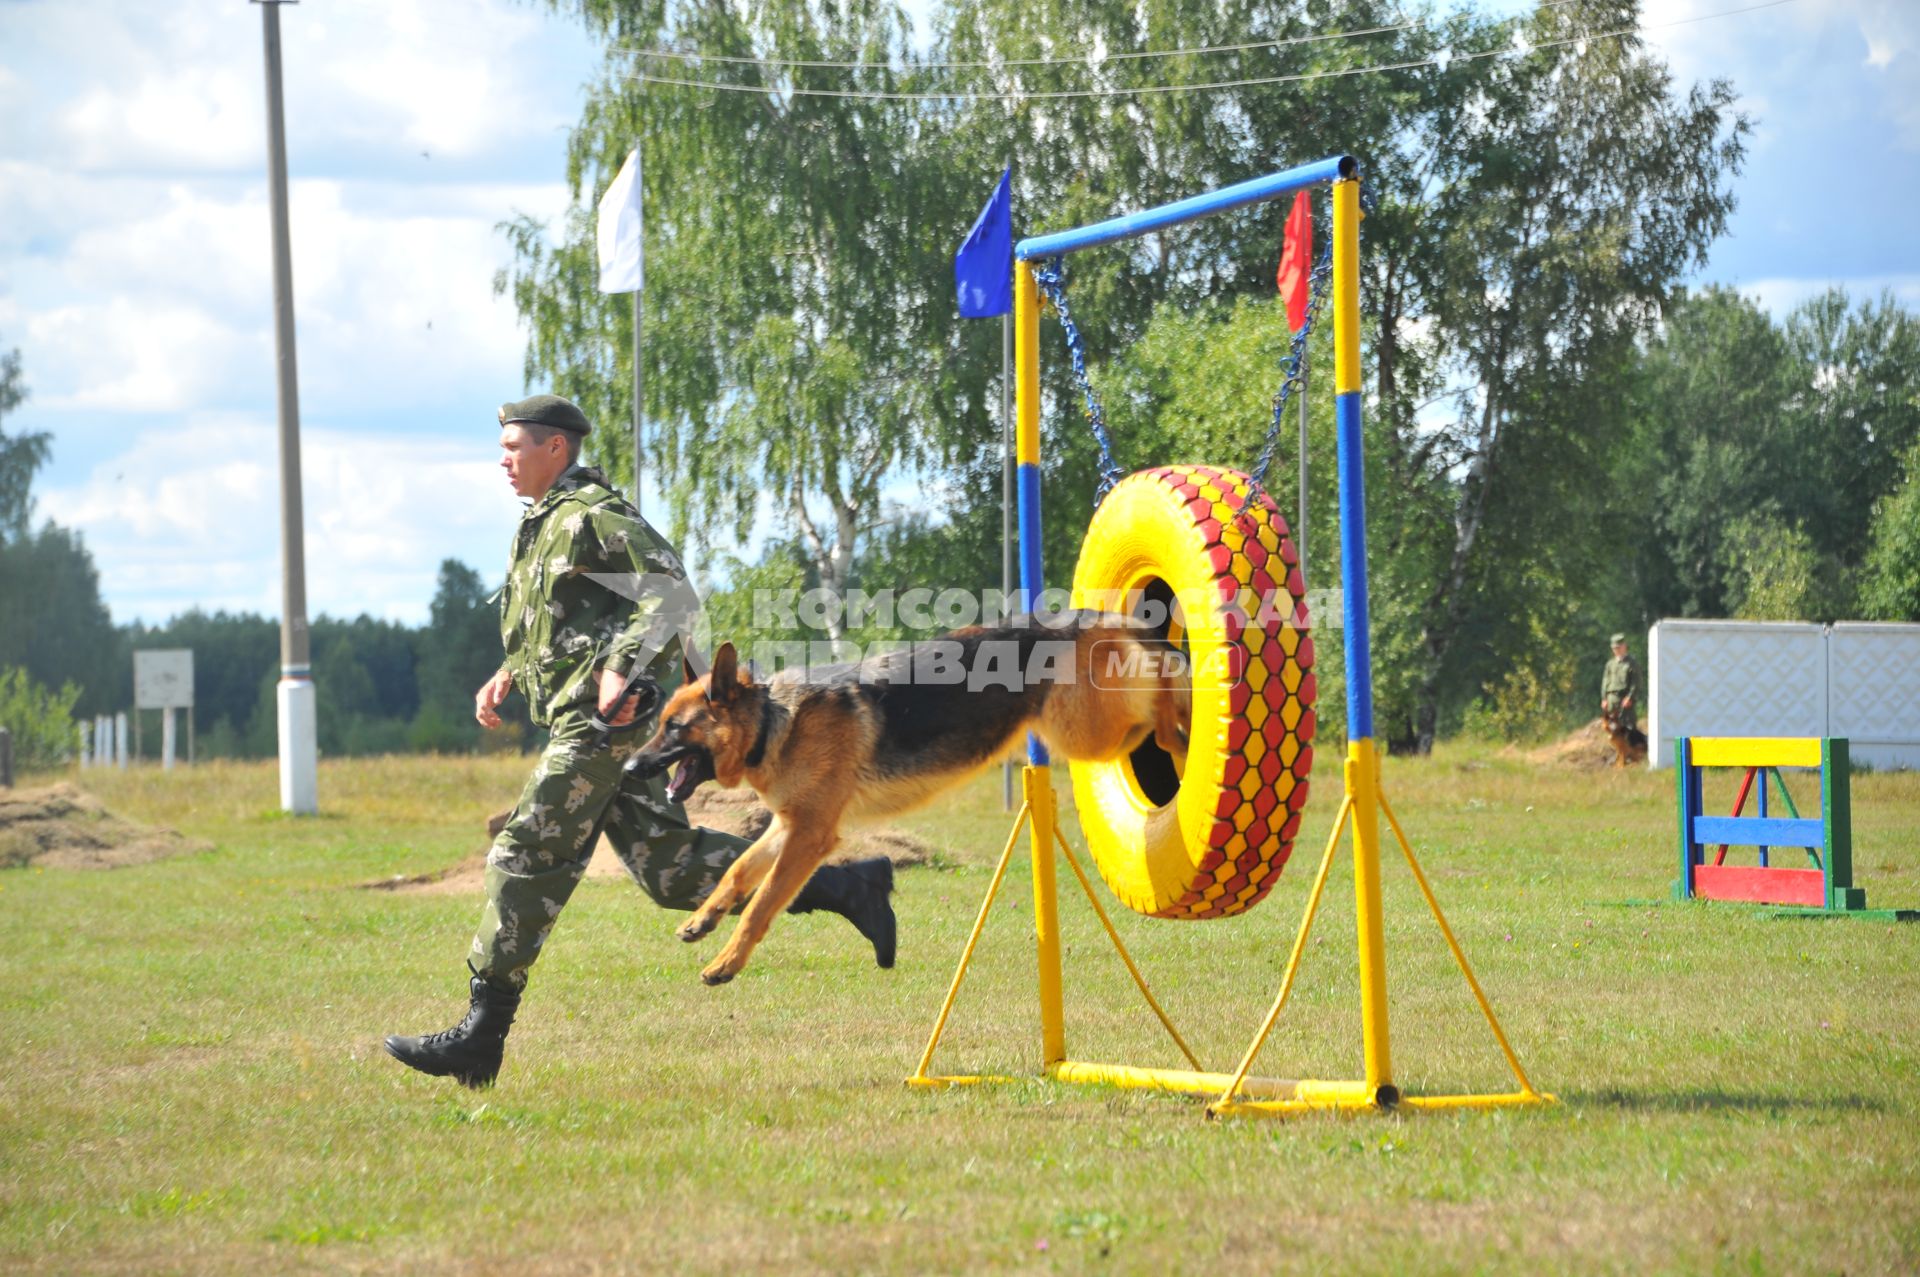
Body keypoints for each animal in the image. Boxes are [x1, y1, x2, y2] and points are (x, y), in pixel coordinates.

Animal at [637, 614, 1190, 979]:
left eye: (675, 728)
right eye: (660, 724)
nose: (629, 767)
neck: (774, 722)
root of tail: (1089, 616)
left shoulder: (809, 835)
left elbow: (762, 903)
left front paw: (725, 964)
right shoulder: (789, 826)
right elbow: (737, 872)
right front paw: (702, 920)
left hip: (1089, 733)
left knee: (1163, 694)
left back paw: (1184, 722)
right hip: (1091, 733)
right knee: (1159, 689)